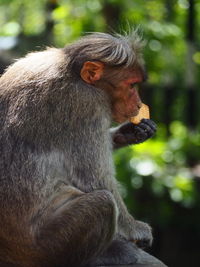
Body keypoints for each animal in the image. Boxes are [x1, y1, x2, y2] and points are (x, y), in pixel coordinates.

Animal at [0, 31, 164, 267]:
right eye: (132, 85)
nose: (139, 104)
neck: (72, 73)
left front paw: (131, 132)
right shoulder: (87, 103)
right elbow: (95, 178)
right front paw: (135, 228)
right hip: (45, 246)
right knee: (103, 203)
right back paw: (106, 254)